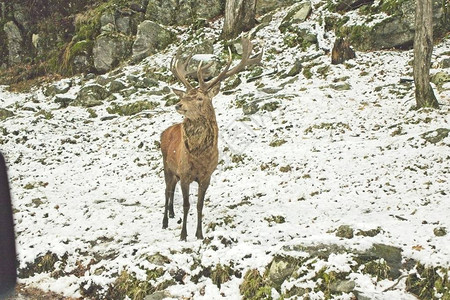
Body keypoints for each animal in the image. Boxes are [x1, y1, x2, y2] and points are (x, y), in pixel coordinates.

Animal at [160, 37, 262, 240]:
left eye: (199, 98)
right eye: (186, 95)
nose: (178, 104)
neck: (200, 157)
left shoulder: (207, 176)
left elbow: (200, 206)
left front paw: (199, 234)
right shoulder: (185, 174)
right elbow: (186, 205)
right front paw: (183, 235)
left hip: (174, 172)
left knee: (171, 190)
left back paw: (172, 215)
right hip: (166, 166)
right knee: (167, 192)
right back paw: (165, 221)